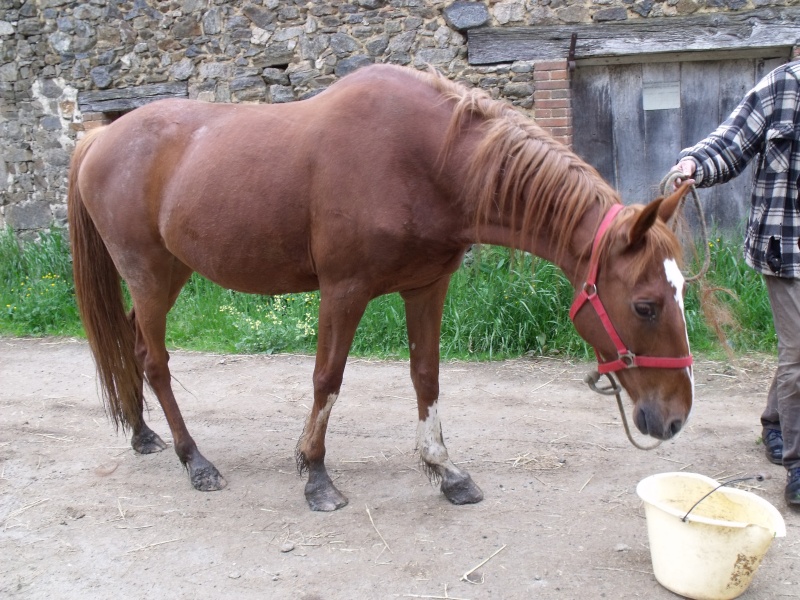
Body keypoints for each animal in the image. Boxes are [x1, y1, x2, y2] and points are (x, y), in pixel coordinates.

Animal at [67, 63, 692, 510]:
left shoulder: (427, 288)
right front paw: (316, 475)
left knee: (133, 346)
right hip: (148, 274)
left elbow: (426, 377)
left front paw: (445, 470)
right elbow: (327, 379)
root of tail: (99, 138)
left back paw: (142, 434)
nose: (675, 418)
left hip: (170, 274)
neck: (428, 159)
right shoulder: (344, 291)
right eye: (646, 305)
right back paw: (194, 460)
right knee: (156, 361)